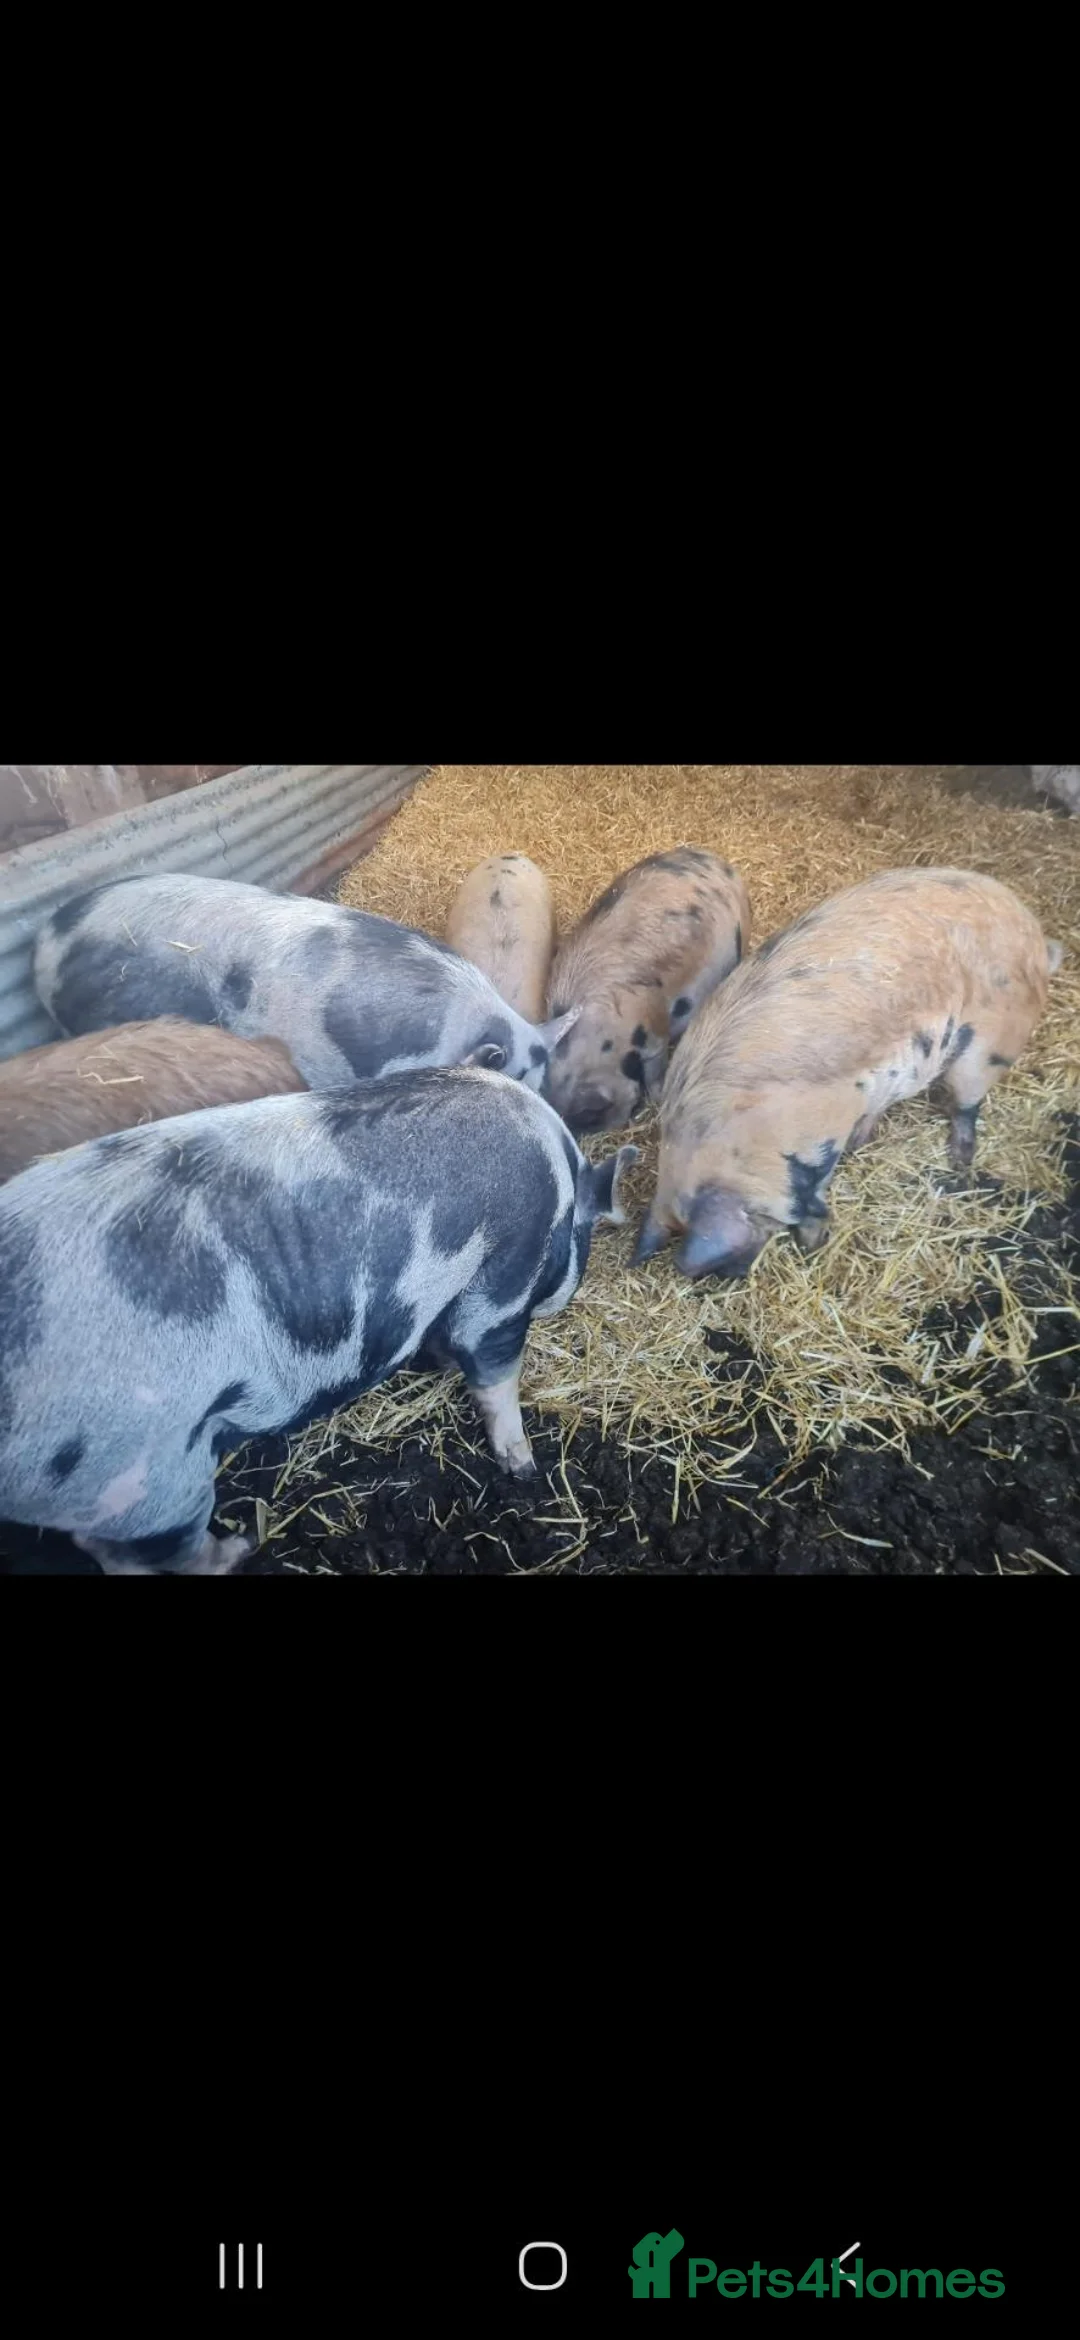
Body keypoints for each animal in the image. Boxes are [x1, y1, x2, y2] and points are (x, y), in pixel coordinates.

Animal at [0, 1066, 639, 1572]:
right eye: (581, 1242)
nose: (568, 1292)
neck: (561, 1184)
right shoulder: (506, 1275)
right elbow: (493, 1368)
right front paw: (523, 1468)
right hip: (149, 1479)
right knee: (172, 1552)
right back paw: (244, 1543)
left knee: (107, 1552)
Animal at [541, 847, 751, 1133]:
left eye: (591, 1115)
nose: (615, 1124)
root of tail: (723, 865)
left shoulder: (653, 1030)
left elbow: (654, 1071)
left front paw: (657, 1096)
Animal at [635, 867, 1063, 1278]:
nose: (736, 1275)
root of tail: (1035, 934)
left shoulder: (822, 1127)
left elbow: (814, 1193)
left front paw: (813, 1241)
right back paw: (865, 1140)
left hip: (990, 1043)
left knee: (967, 1103)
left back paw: (960, 1160)